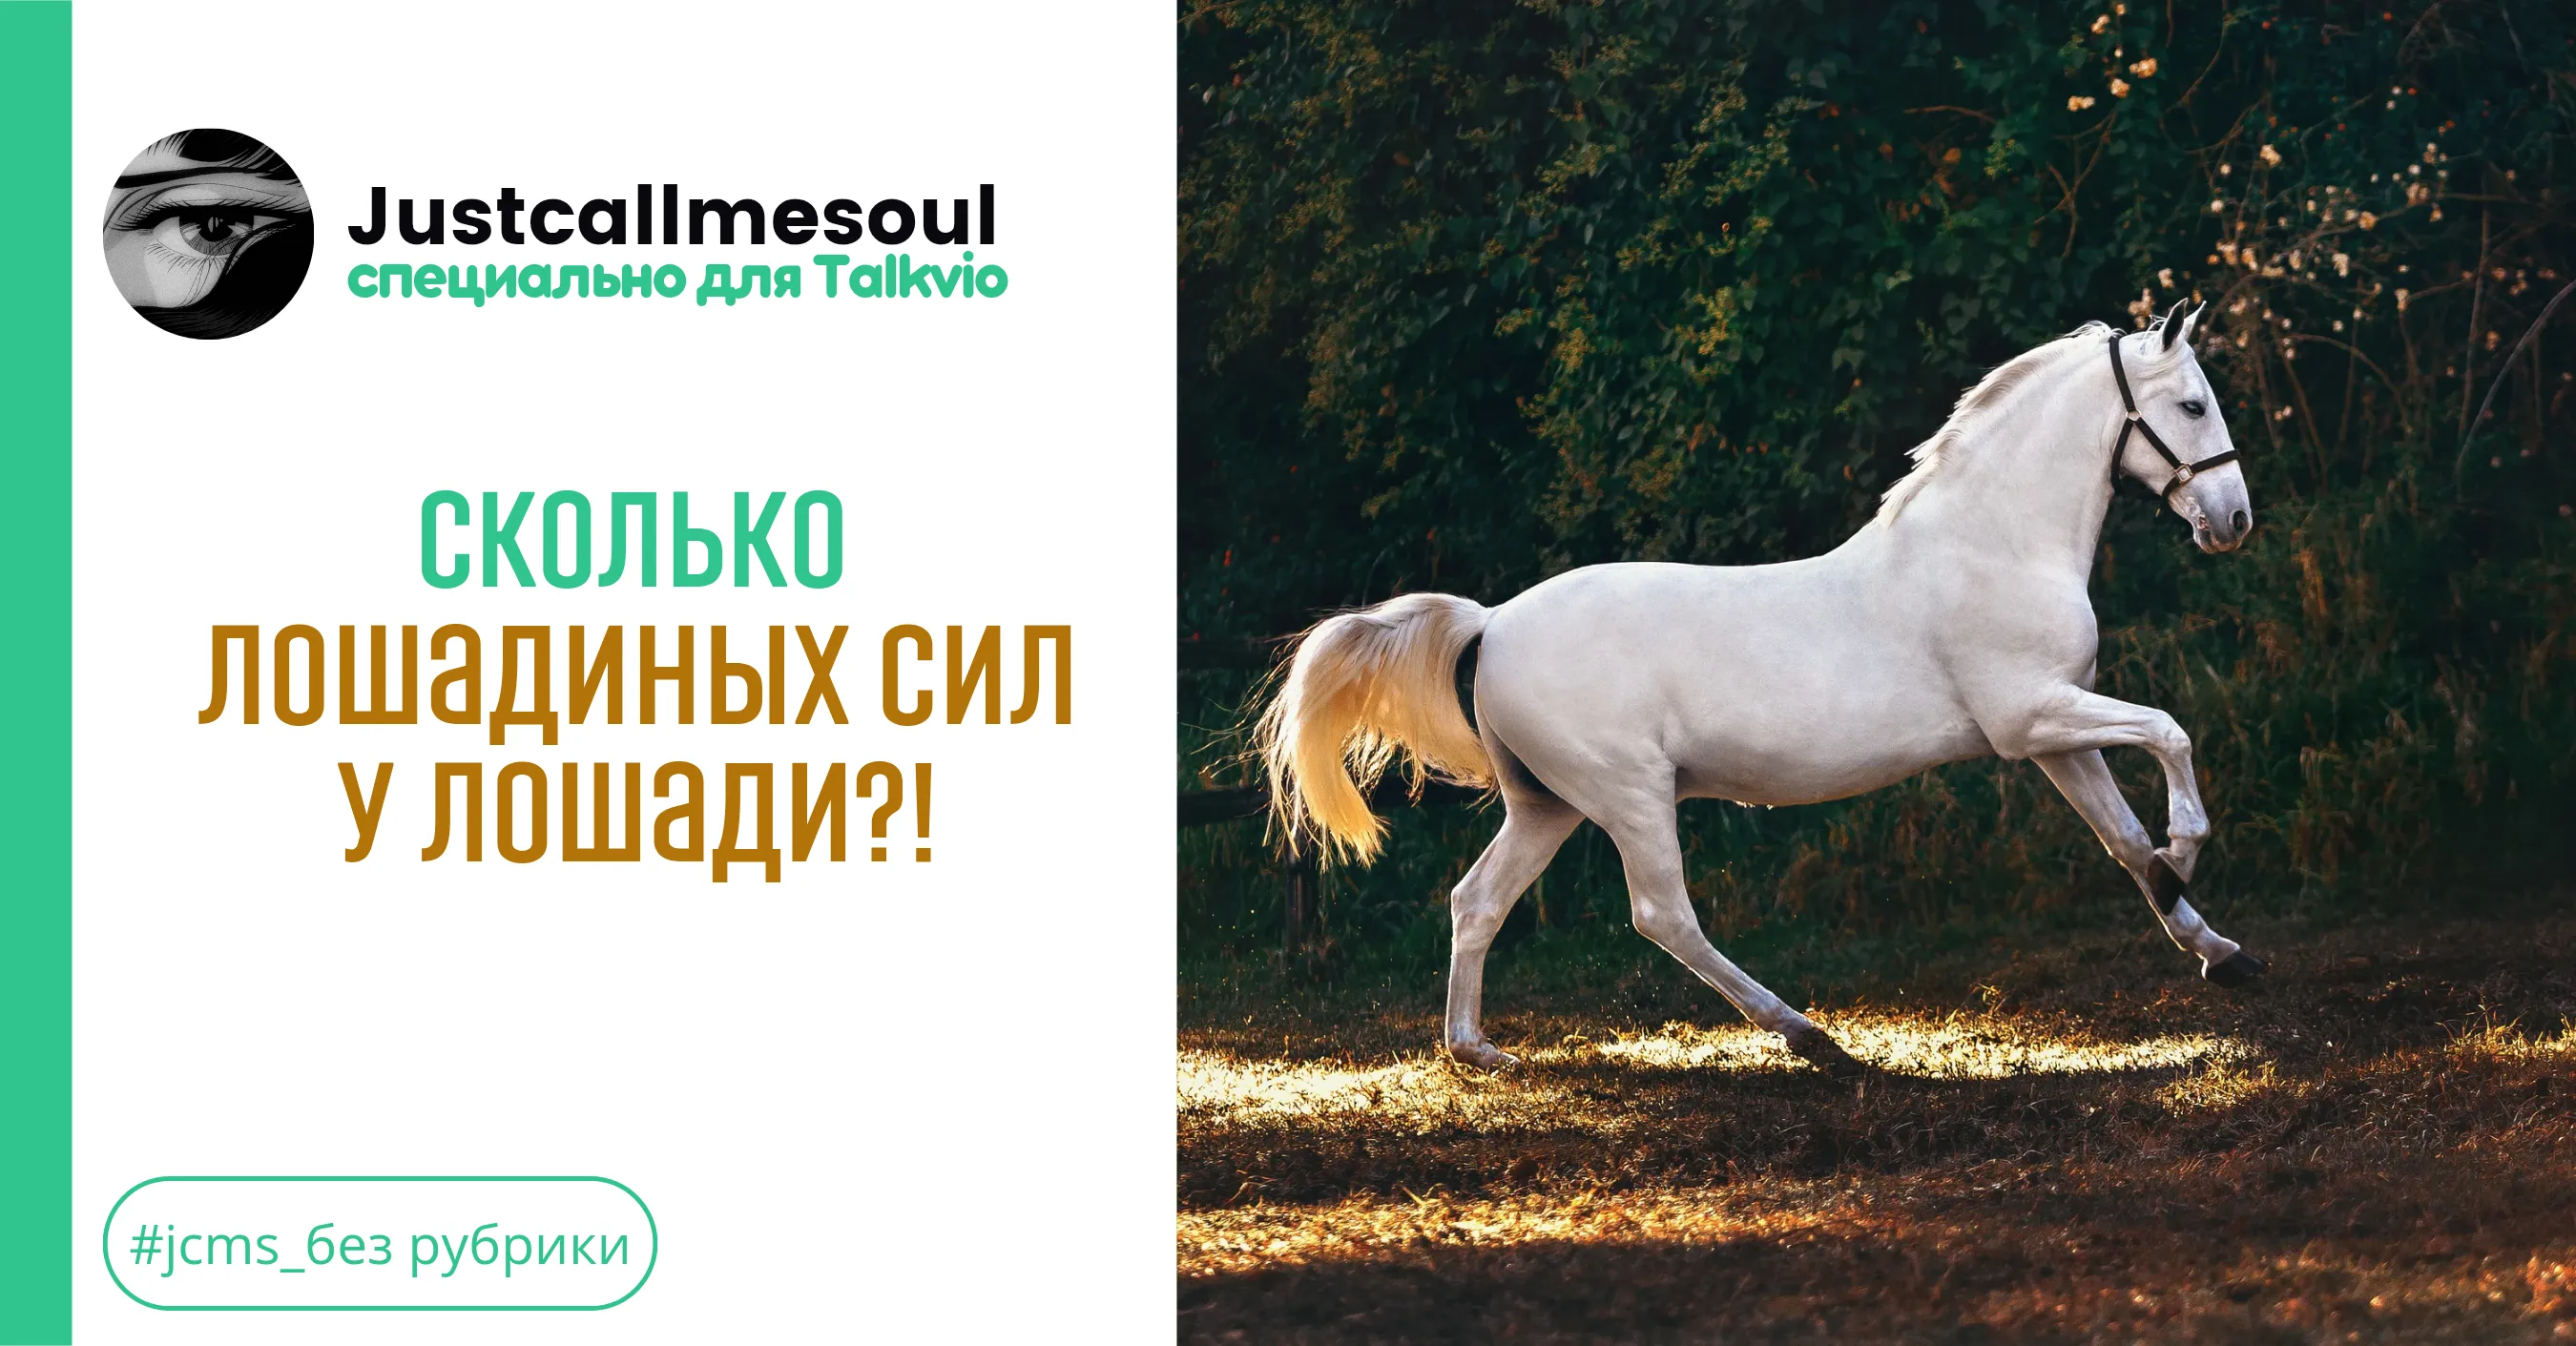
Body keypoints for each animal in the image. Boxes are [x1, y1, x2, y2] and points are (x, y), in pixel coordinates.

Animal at [1252, 303, 2263, 1074]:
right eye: (2192, 403)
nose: (2234, 520)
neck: (1992, 544)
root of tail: (1492, 622)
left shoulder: (2056, 734)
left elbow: (2124, 841)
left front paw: (2217, 949)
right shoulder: (2032, 718)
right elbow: (2170, 735)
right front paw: (2187, 851)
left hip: (1547, 804)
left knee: (1477, 900)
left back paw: (1475, 1049)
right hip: (1629, 795)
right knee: (1663, 914)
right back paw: (1810, 1035)